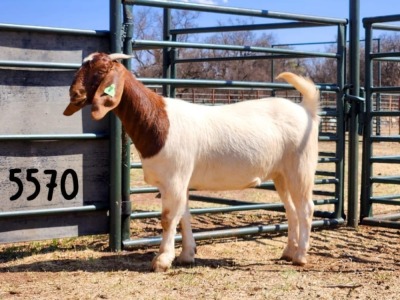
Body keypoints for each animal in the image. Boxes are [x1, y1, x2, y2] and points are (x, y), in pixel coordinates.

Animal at [63, 51, 318, 272]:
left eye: (101, 70)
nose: (74, 94)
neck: (158, 120)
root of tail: (307, 110)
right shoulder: (181, 181)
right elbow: (184, 215)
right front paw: (186, 255)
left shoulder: (174, 179)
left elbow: (168, 218)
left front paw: (162, 260)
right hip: (281, 174)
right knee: (291, 209)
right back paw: (288, 252)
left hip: (301, 168)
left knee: (306, 208)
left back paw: (301, 256)